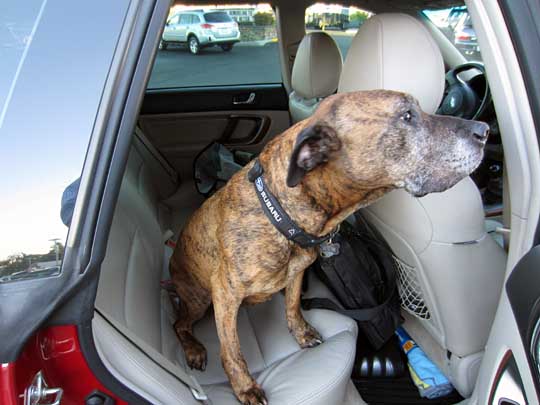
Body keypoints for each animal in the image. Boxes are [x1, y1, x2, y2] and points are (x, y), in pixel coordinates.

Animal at [170, 89, 490, 404]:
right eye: (407, 116)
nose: (485, 130)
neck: (281, 212)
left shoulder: (297, 273)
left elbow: (292, 305)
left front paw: (301, 332)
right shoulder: (225, 294)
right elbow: (232, 350)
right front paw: (244, 387)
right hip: (200, 299)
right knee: (179, 324)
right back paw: (194, 349)